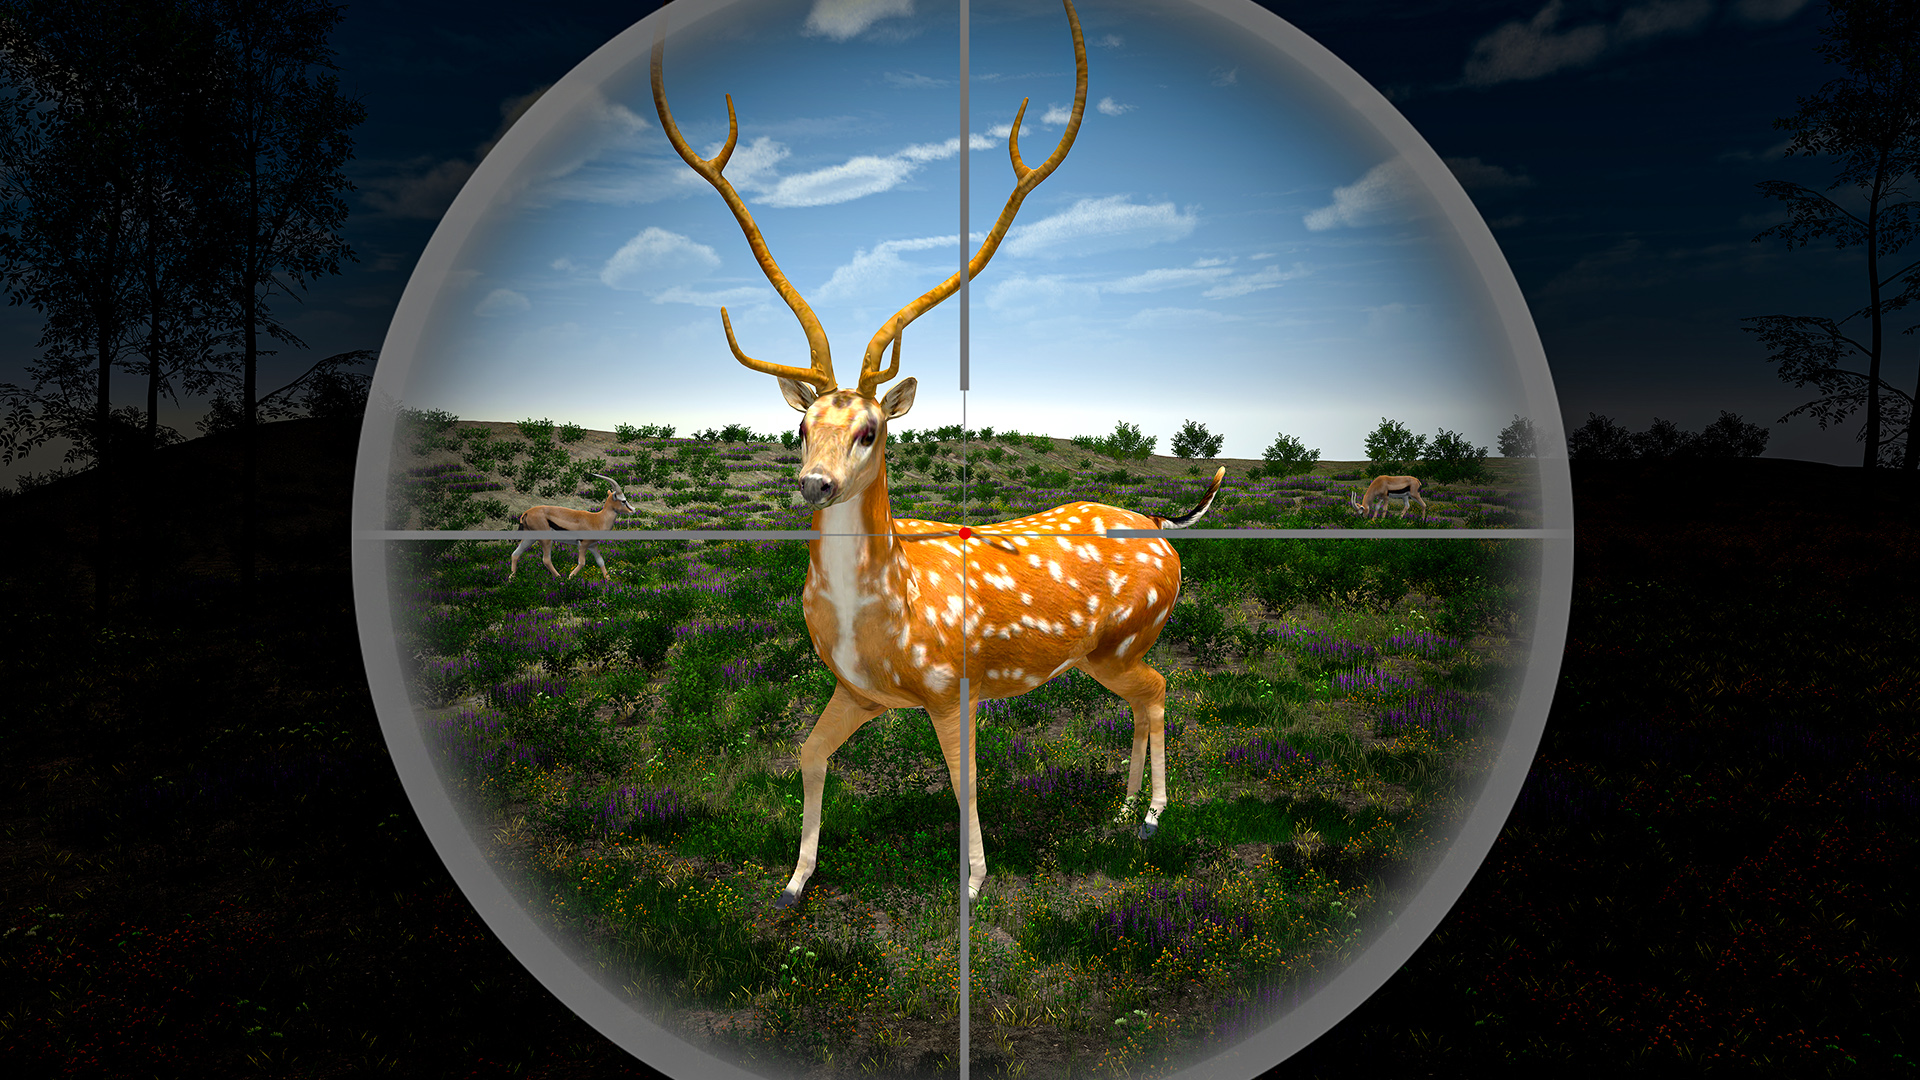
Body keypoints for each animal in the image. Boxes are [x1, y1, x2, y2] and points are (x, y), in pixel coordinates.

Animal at [654, 0, 1225, 907]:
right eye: (800, 427)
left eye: (871, 430)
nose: (814, 485)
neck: (883, 620)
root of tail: (1167, 527)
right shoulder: (856, 690)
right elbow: (806, 752)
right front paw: (794, 881)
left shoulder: (952, 687)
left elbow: (966, 782)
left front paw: (976, 882)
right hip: (1105, 654)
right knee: (1144, 699)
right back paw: (1118, 806)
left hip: (1125, 640)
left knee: (1164, 690)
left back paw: (1151, 816)